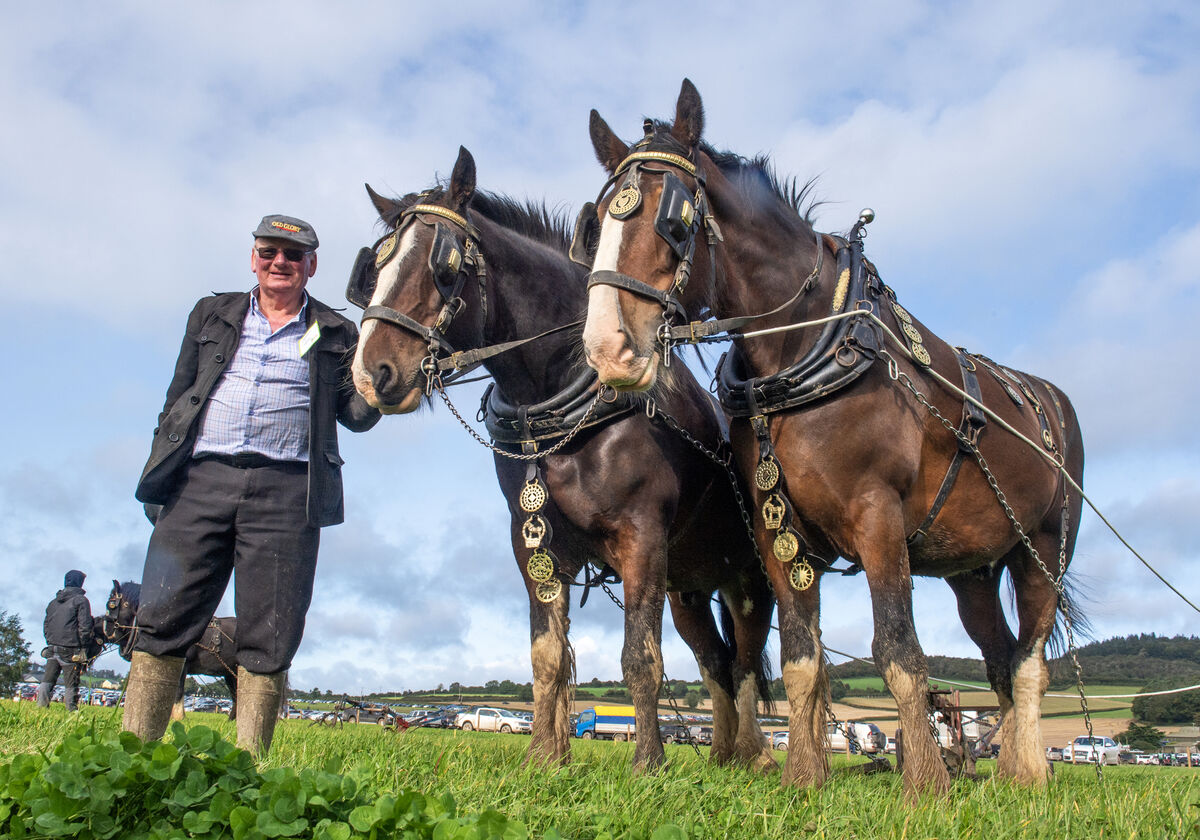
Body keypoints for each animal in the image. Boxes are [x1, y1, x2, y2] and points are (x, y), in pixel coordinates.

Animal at [101, 580, 239, 720]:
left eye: (111, 605)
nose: (106, 632)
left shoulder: (184, 662)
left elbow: (178, 690)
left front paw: (179, 716)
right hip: (230, 673)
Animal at [348, 145, 778, 773]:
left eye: (443, 263)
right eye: (374, 267)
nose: (369, 374)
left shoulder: (643, 539)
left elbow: (640, 657)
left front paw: (648, 763)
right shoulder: (535, 545)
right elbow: (547, 654)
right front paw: (543, 757)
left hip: (749, 575)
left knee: (750, 655)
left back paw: (758, 756)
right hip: (689, 588)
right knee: (715, 659)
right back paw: (723, 755)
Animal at [579, 80, 1085, 796]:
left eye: (671, 219)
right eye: (595, 224)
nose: (607, 348)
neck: (807, 348)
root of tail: (1053, 399)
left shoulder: (879, 518)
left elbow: (899, 650)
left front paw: (925, 784)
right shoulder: (776, 530)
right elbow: (801, 658)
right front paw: (803, 777)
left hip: (1042, 546)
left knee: (1031, 657)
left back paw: (1031, 770)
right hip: (974, 570)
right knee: (998, 652)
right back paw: (1011, 767)